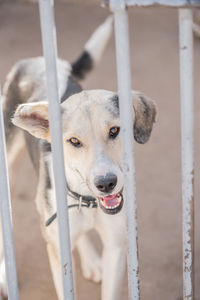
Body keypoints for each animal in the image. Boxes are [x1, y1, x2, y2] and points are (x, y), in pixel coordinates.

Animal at [0, 17, 156, 300]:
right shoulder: (58, 253)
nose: (106, 183)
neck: (89, 201)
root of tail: (35, 59)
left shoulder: (117, 246)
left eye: (114, 131)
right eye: (74, 141)